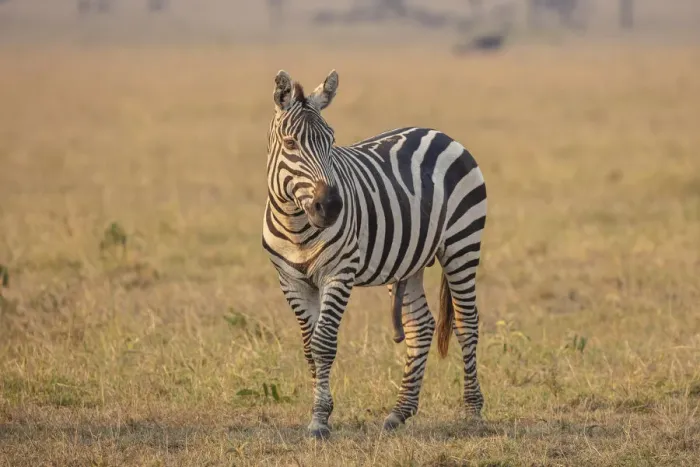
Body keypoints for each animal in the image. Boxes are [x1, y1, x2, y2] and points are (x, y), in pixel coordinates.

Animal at [262, 69, 487, 439]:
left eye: (331, 141)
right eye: (291, 144)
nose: (332, 206)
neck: (297, 223)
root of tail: (437, 133)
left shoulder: (339, 273)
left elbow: (324, 343)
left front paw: (320, 419)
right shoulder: (290, 280)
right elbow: (310, 347)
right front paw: (318, 413)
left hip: (462, 243)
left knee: (466, 322)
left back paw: (472, 411)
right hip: (409, 260)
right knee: (421, 326)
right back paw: (399, 413)